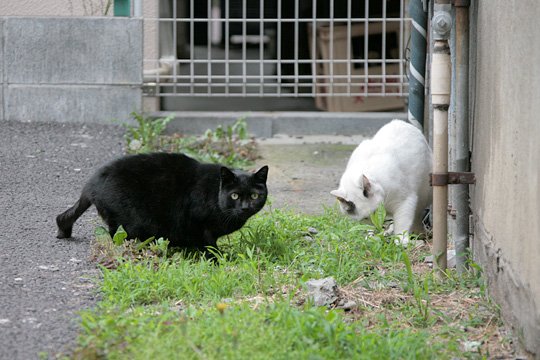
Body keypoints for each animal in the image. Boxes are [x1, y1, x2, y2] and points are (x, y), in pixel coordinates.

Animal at [56, 153, 268, 253]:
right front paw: (219, 260)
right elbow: (209, 246)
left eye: (254, 196)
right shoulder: (200, 226)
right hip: (133, 222)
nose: (245, 207)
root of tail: (91, 184)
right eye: (235, 196)